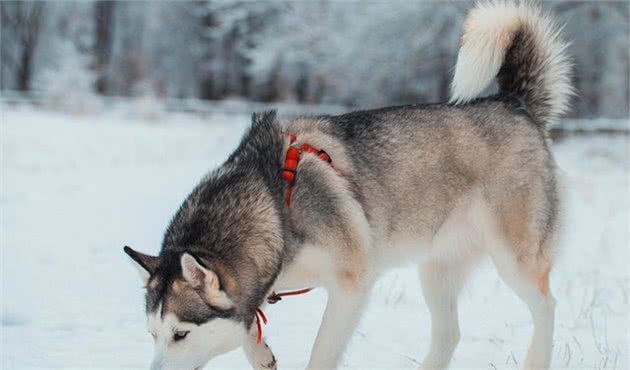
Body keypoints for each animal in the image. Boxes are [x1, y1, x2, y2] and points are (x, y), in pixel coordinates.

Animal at [123, 2, 572, 370]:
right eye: (152, 335)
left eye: (181, 334)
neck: (276, 208)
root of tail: (513, 104)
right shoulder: (258, 288)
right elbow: (250, 326)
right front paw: (262, 354)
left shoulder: (350, 284)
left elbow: (321, 351)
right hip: (436, 268)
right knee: (449, 333)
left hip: (514, 257)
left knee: (548, 306)